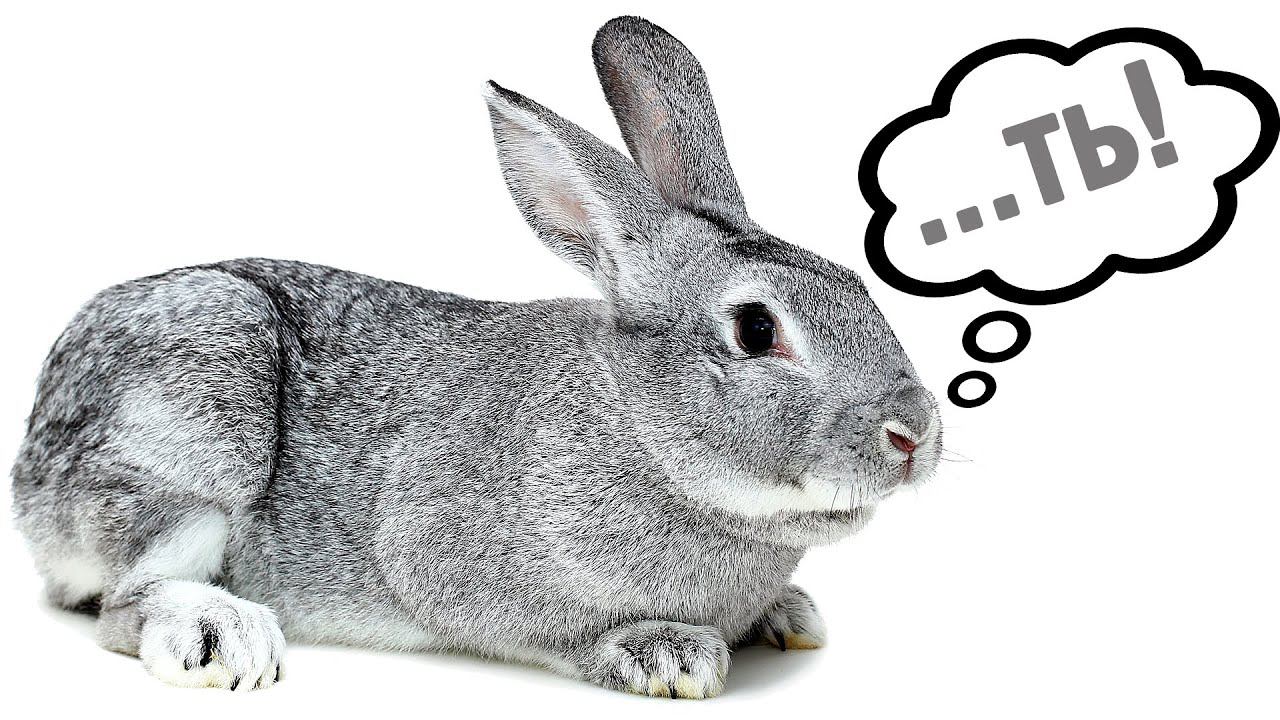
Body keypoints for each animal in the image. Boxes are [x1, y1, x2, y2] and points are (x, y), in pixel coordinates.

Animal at [10, 16, 942, 698]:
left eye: (856, 284)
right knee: (125, 601)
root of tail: (30, 471)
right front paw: (666, 653)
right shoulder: (453, 563)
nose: (914, 435)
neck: (640, 430)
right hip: (197, 409)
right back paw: (223, 636)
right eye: (755, 329)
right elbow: (552, 630)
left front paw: (785, 615)